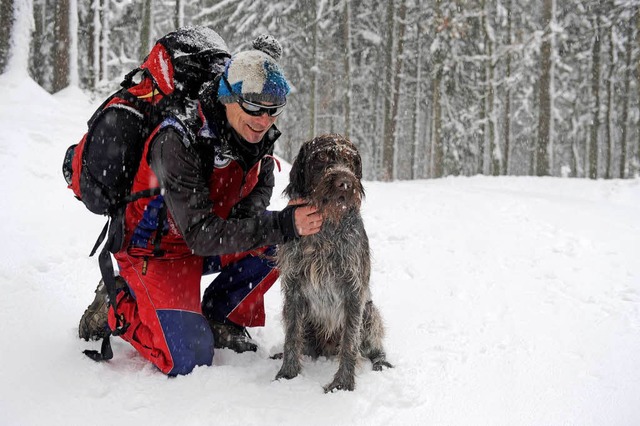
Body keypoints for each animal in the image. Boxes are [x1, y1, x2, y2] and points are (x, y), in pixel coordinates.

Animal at [274, 134, 392, 392]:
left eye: (350, 160)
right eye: (320, 157)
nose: (345, 183)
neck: (327, 225)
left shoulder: (353, 290)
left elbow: (350, 343)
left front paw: (343, 385)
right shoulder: (293, 287)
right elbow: (292, 335)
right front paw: (287, 375)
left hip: (370, 312)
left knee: (372, 346)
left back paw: (381, 361)